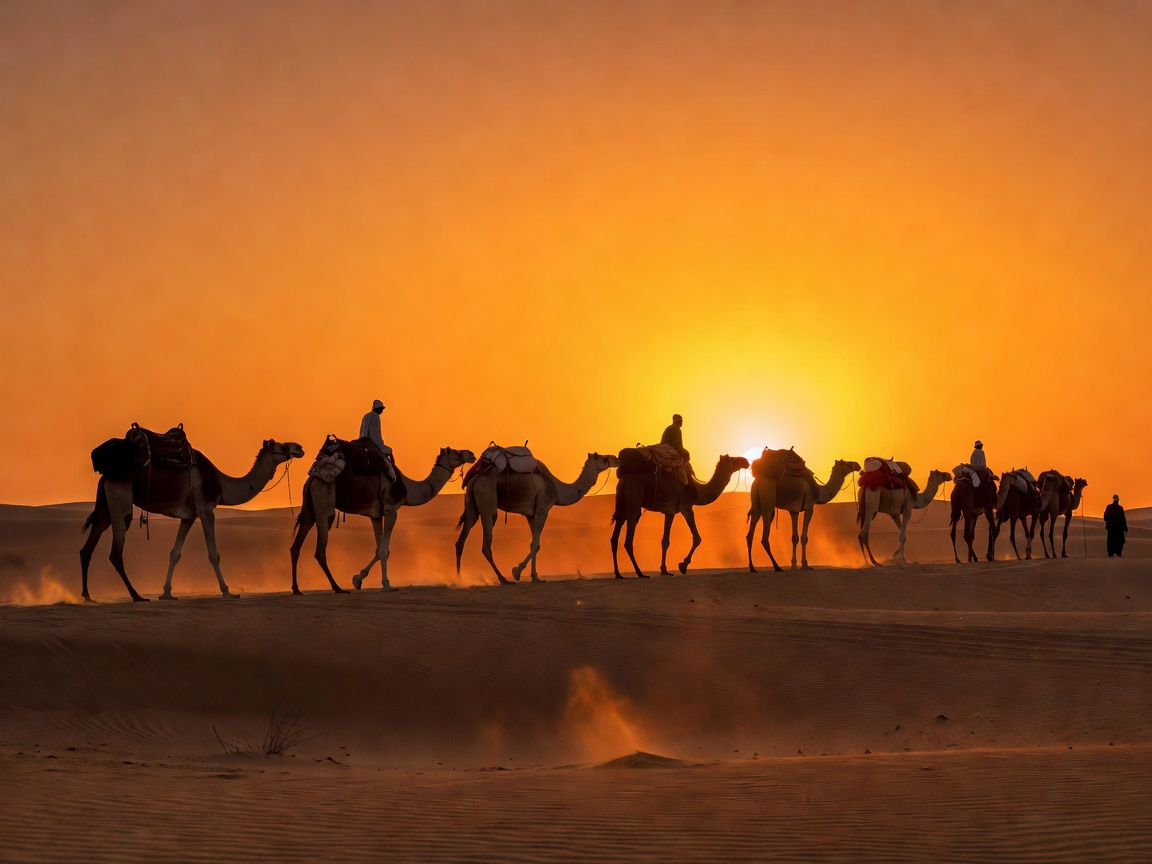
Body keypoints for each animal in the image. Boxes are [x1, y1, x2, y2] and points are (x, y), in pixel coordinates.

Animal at [80, 438, 305, 602]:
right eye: (283, 446)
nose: (300, 447)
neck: (221, 484)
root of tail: (106, 476)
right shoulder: (206, 509)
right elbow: (214, 554)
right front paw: (228, 591)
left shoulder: (189, 516)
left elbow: (174, 554)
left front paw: (167, 593)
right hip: (121, 499)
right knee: (115, 553)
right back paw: (136, 596)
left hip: (106, 505)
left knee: (88, 547)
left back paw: (87, 596)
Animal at [290, 446, 475, 593]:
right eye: (457, 452)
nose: (471, 454)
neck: (407, 488)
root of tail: (312, 478)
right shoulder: (391, 510)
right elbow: (384, 550)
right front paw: (387, 585)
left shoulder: (376, 515)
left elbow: (378, 549)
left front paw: (358, 579)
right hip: (324, 504)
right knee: (320, 550)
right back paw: (337, 588)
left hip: (310, 508)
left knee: (296, 546)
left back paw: (297, 589)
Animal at [455, 452, 620, 584]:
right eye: (604, 458)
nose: (617, 459)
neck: (557, 489)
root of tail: (474, 479)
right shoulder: (543, 509)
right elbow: (536, 544)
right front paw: (516, 572)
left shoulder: (530, 514)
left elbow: (534, 544)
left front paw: (535, 577)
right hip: (487, 500)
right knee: (486, 545)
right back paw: (503, 579)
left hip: (472, 505)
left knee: (461, 539)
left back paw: (459, 578)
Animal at [611, 454, 749, 579]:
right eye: (733, 460)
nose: (746, 461)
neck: (698, 492)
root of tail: (623, 480)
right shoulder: (686, 507)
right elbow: (697, 538)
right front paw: (683, 565)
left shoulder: (670, 511)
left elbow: (665, 541)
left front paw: (664, 570)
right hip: (634, 497)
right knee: (629, 537)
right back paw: (640, 573)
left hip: (622, 502)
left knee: (615, 534)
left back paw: (618, 574)